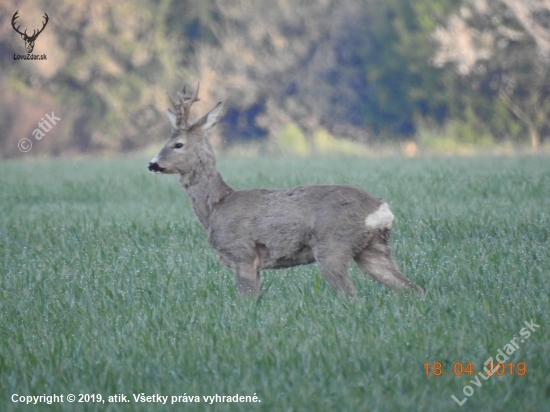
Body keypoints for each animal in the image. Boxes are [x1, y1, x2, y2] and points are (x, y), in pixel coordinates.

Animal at [147, 82, 422, 298]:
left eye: (178, 144)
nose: (152, 164)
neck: (217, 206)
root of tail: (380, 209)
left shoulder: (243, 254)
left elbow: (245, 301)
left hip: (332, 245)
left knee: (351, 296)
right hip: (374, 249)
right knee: (412, 289)